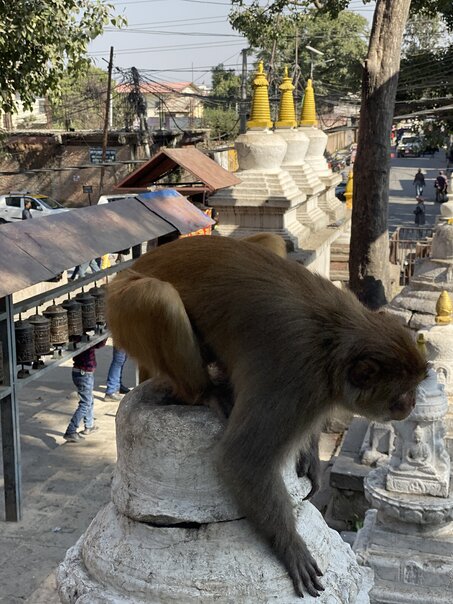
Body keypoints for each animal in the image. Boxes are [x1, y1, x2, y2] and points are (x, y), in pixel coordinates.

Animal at [106, 234, 427, 598]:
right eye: (403, 392)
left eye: (413, 388)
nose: (411, 403)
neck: (335, 342)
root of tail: (137, 264)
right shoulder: (296, 378)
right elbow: (242, 460)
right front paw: (290, 545)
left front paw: (310, 455)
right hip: (120, 310)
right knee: (158, 297)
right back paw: (204, 392)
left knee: (270, 240)